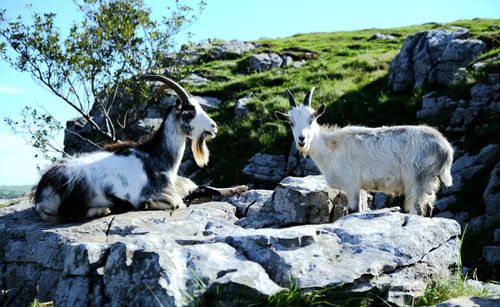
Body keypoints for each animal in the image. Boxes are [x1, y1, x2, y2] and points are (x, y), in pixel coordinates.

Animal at [33, 75, 246, 223]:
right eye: (190, 112)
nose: (214, 126)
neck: (157, 158)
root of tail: (41, 194)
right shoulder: (153, 192)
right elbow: (178, 203)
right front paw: (147, 205)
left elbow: (207, 188)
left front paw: (240, 188)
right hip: (77, 186)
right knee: (69, 213)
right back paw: (103, 210)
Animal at [276, 87, 456, 217]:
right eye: (291, 123)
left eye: (311, 120)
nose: (301, 140)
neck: (330, 147)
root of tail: (445, 149)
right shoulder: (360, 188)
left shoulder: (351, 183)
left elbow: (353, 211)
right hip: (428, 182)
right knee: (428, 208)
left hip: (416, 179)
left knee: (418, 209)